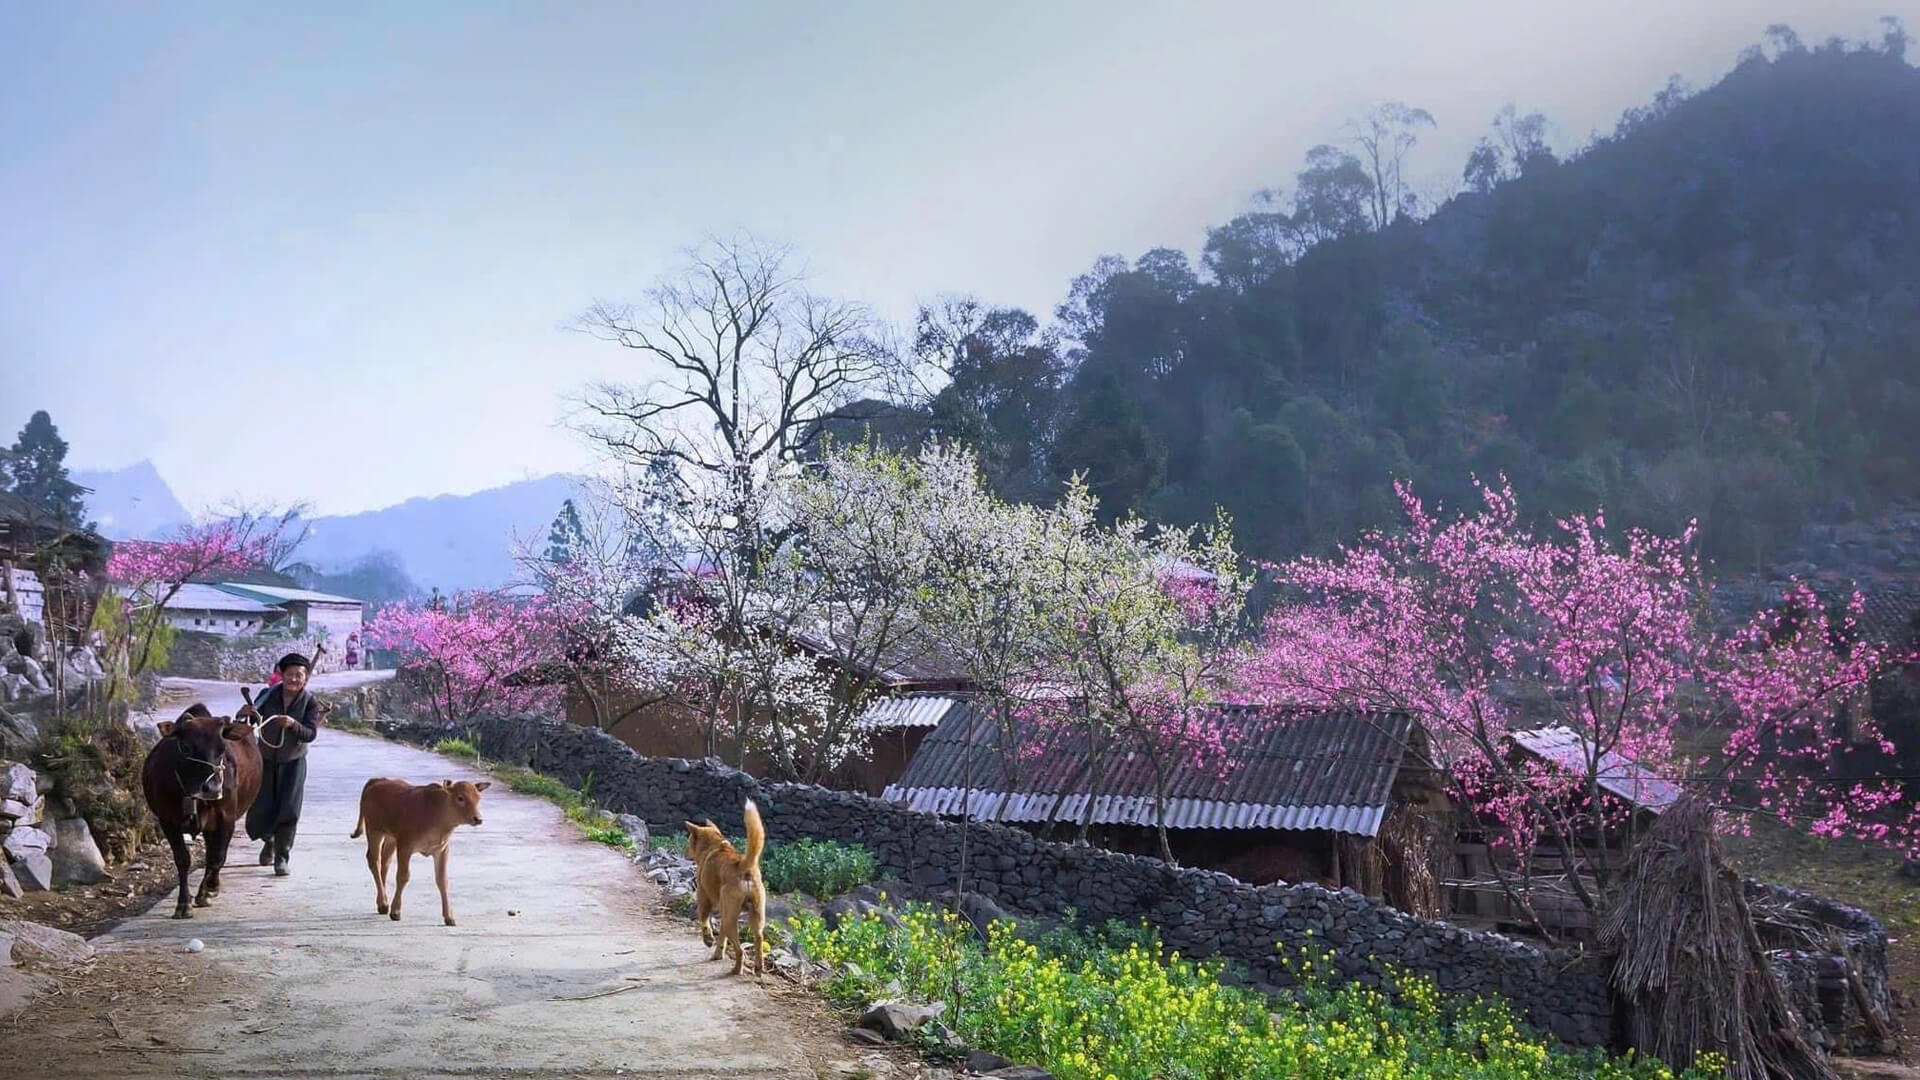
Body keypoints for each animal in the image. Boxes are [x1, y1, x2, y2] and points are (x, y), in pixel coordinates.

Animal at [139, 687, 264, 914]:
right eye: (186, 747)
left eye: (222, 749)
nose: (212, 789)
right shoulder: (167, 820)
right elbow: (183, 859)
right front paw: (183, 903)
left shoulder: (226, 818)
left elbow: (217, 857)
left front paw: (208, 890)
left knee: (213, 855)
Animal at [351, 772, 491, 926]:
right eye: (460, 798)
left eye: (478, 798)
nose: (478, 818)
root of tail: (377, 780)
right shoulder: (405, 845)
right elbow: (403, 876)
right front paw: (396, 911)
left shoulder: (442, 849)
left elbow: (442, 880)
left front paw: (449, 916)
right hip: (374, 830)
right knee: (374, 861)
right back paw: (383, 903)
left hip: (391, 837)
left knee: (385, 862)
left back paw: (382, 901)